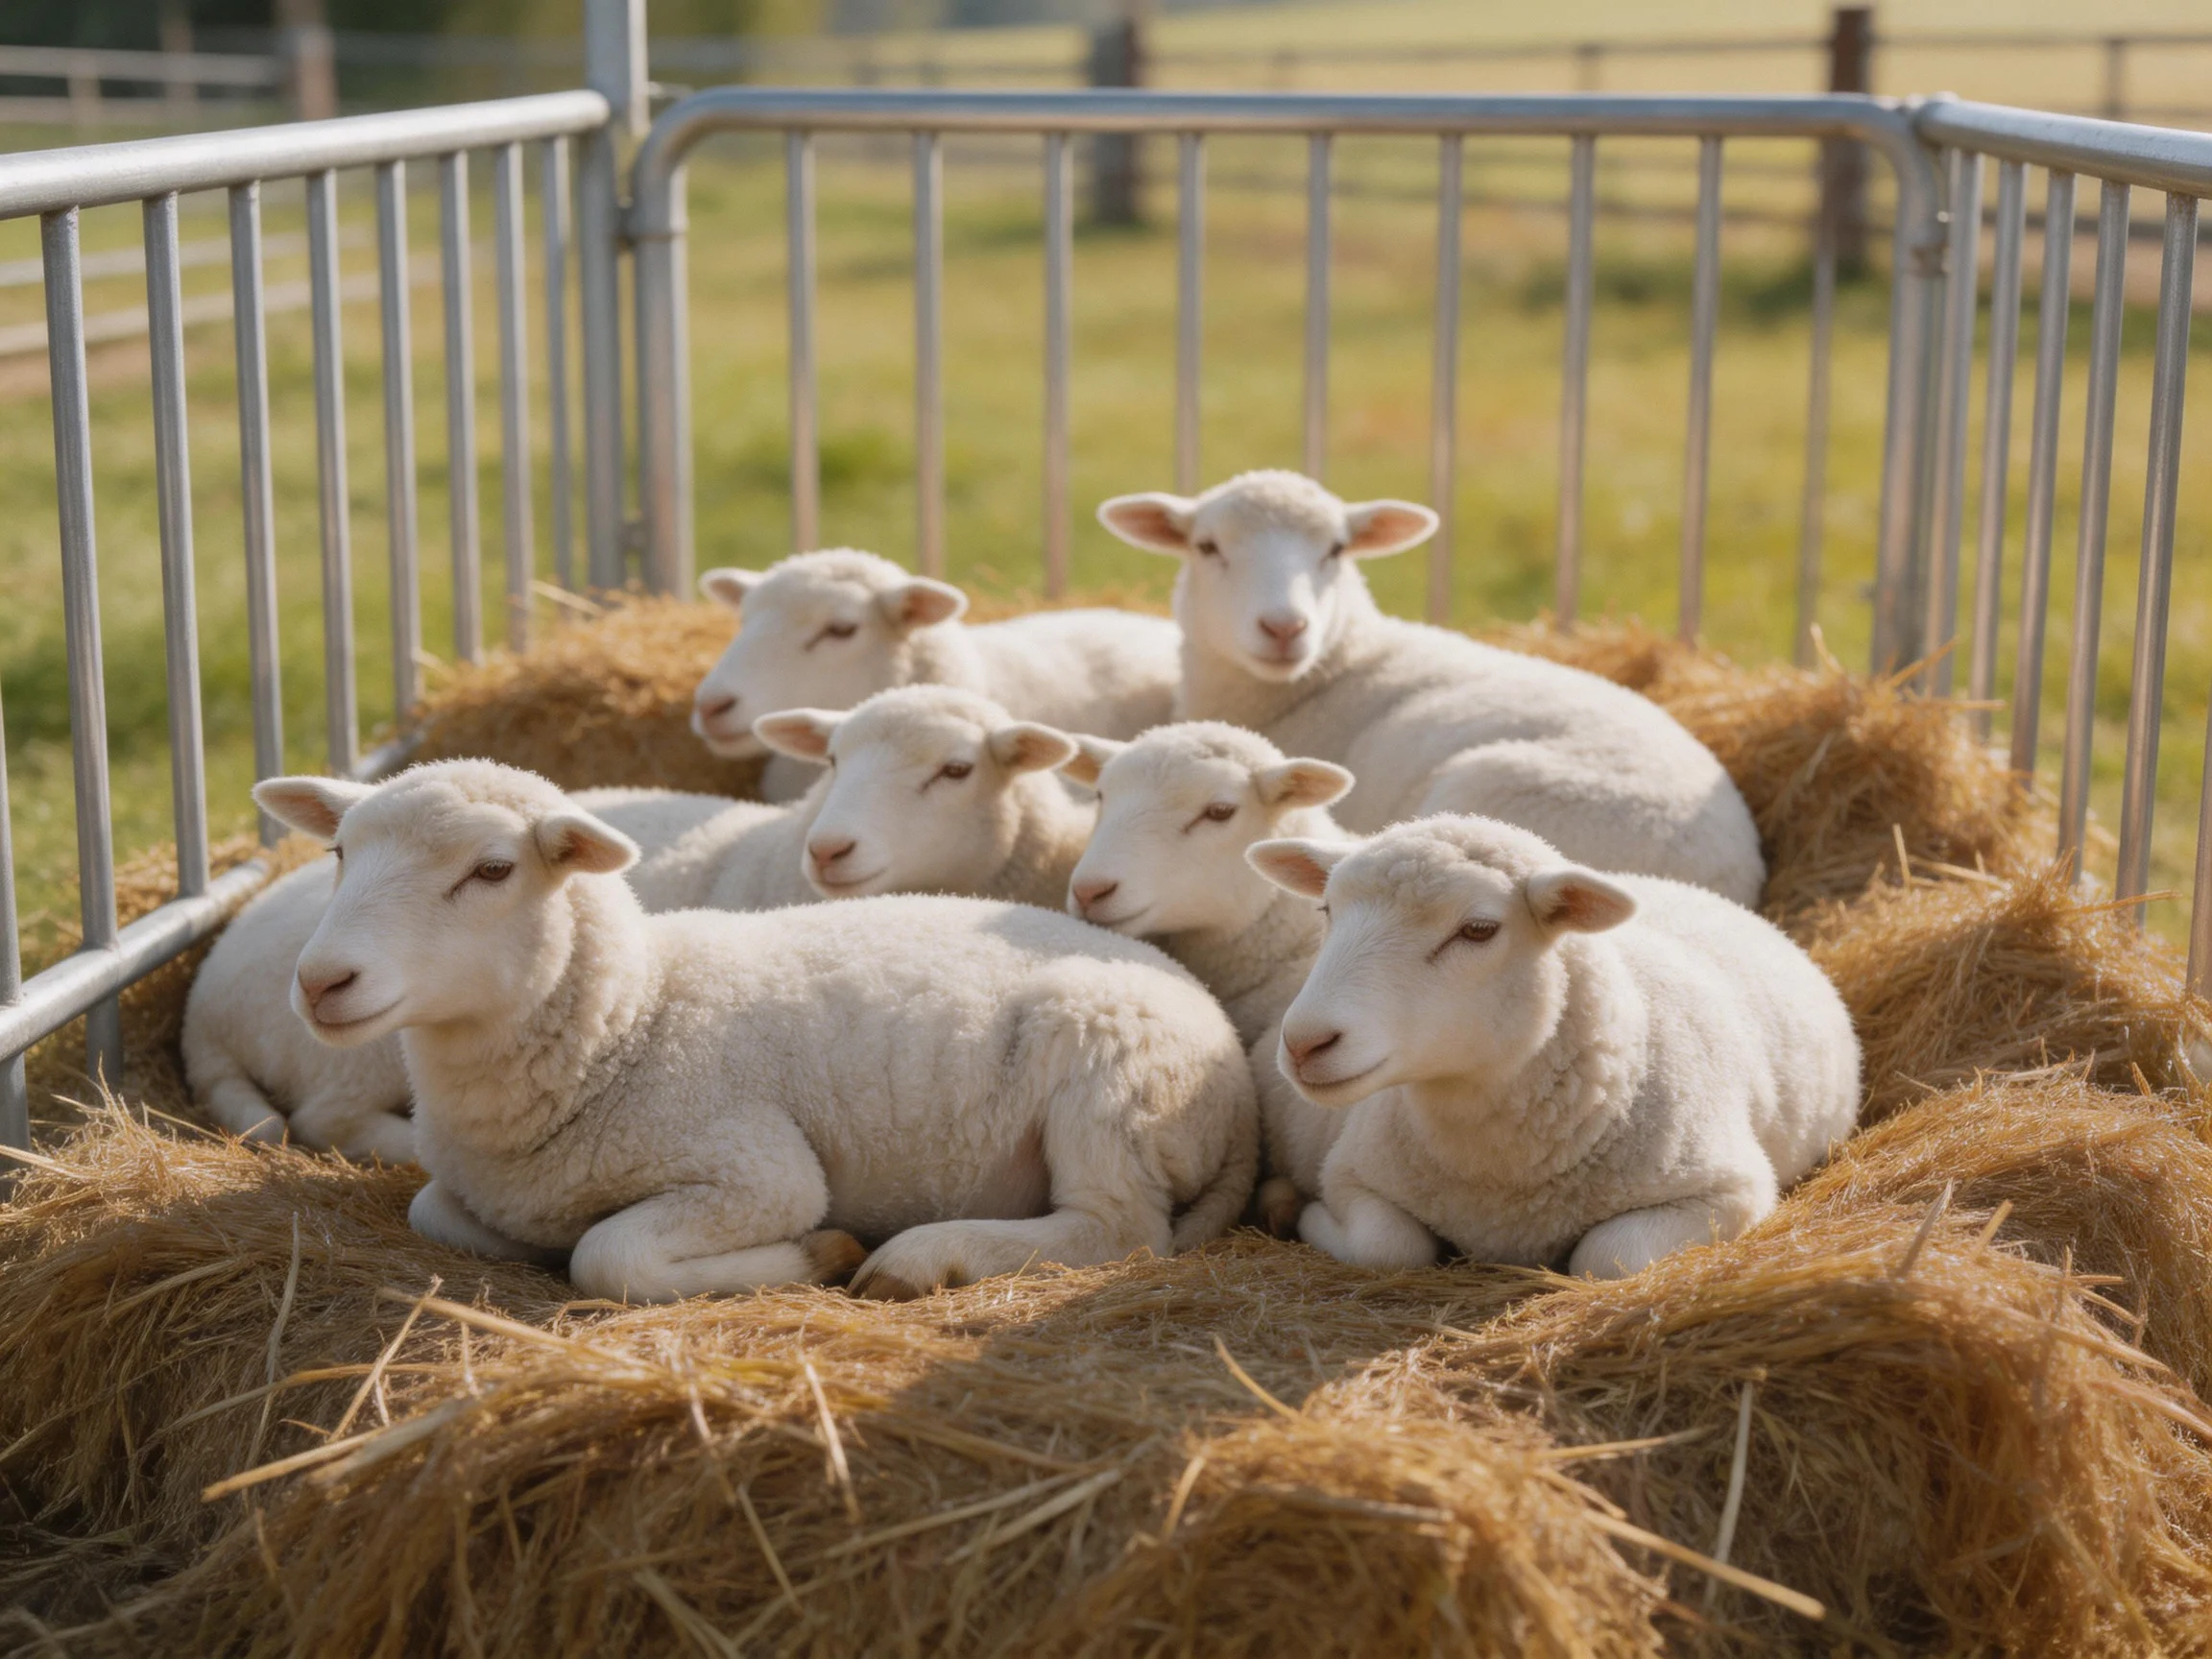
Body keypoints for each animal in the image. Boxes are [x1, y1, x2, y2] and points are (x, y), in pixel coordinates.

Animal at [252, 759, 1258, 1303]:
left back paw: (918, 1257)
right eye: (339, 851)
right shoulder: (478, 1190)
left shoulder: (755, 1171)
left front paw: (821, 1253)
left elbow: (608, 1255)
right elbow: (433, 1210)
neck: (630, 1024)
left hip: (1113, 1077)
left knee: (1114, 1229)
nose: (320, 980)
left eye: (493, 870)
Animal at [1246, 814, 1860, 1279]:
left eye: (1478, 930)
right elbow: (1389, 1248)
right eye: (1326, 909)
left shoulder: (1730, 1190)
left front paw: (1298, 1216)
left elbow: (1607, 1256)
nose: (1305, 1043)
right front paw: (1297, 1213)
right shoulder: (1351, 1171)